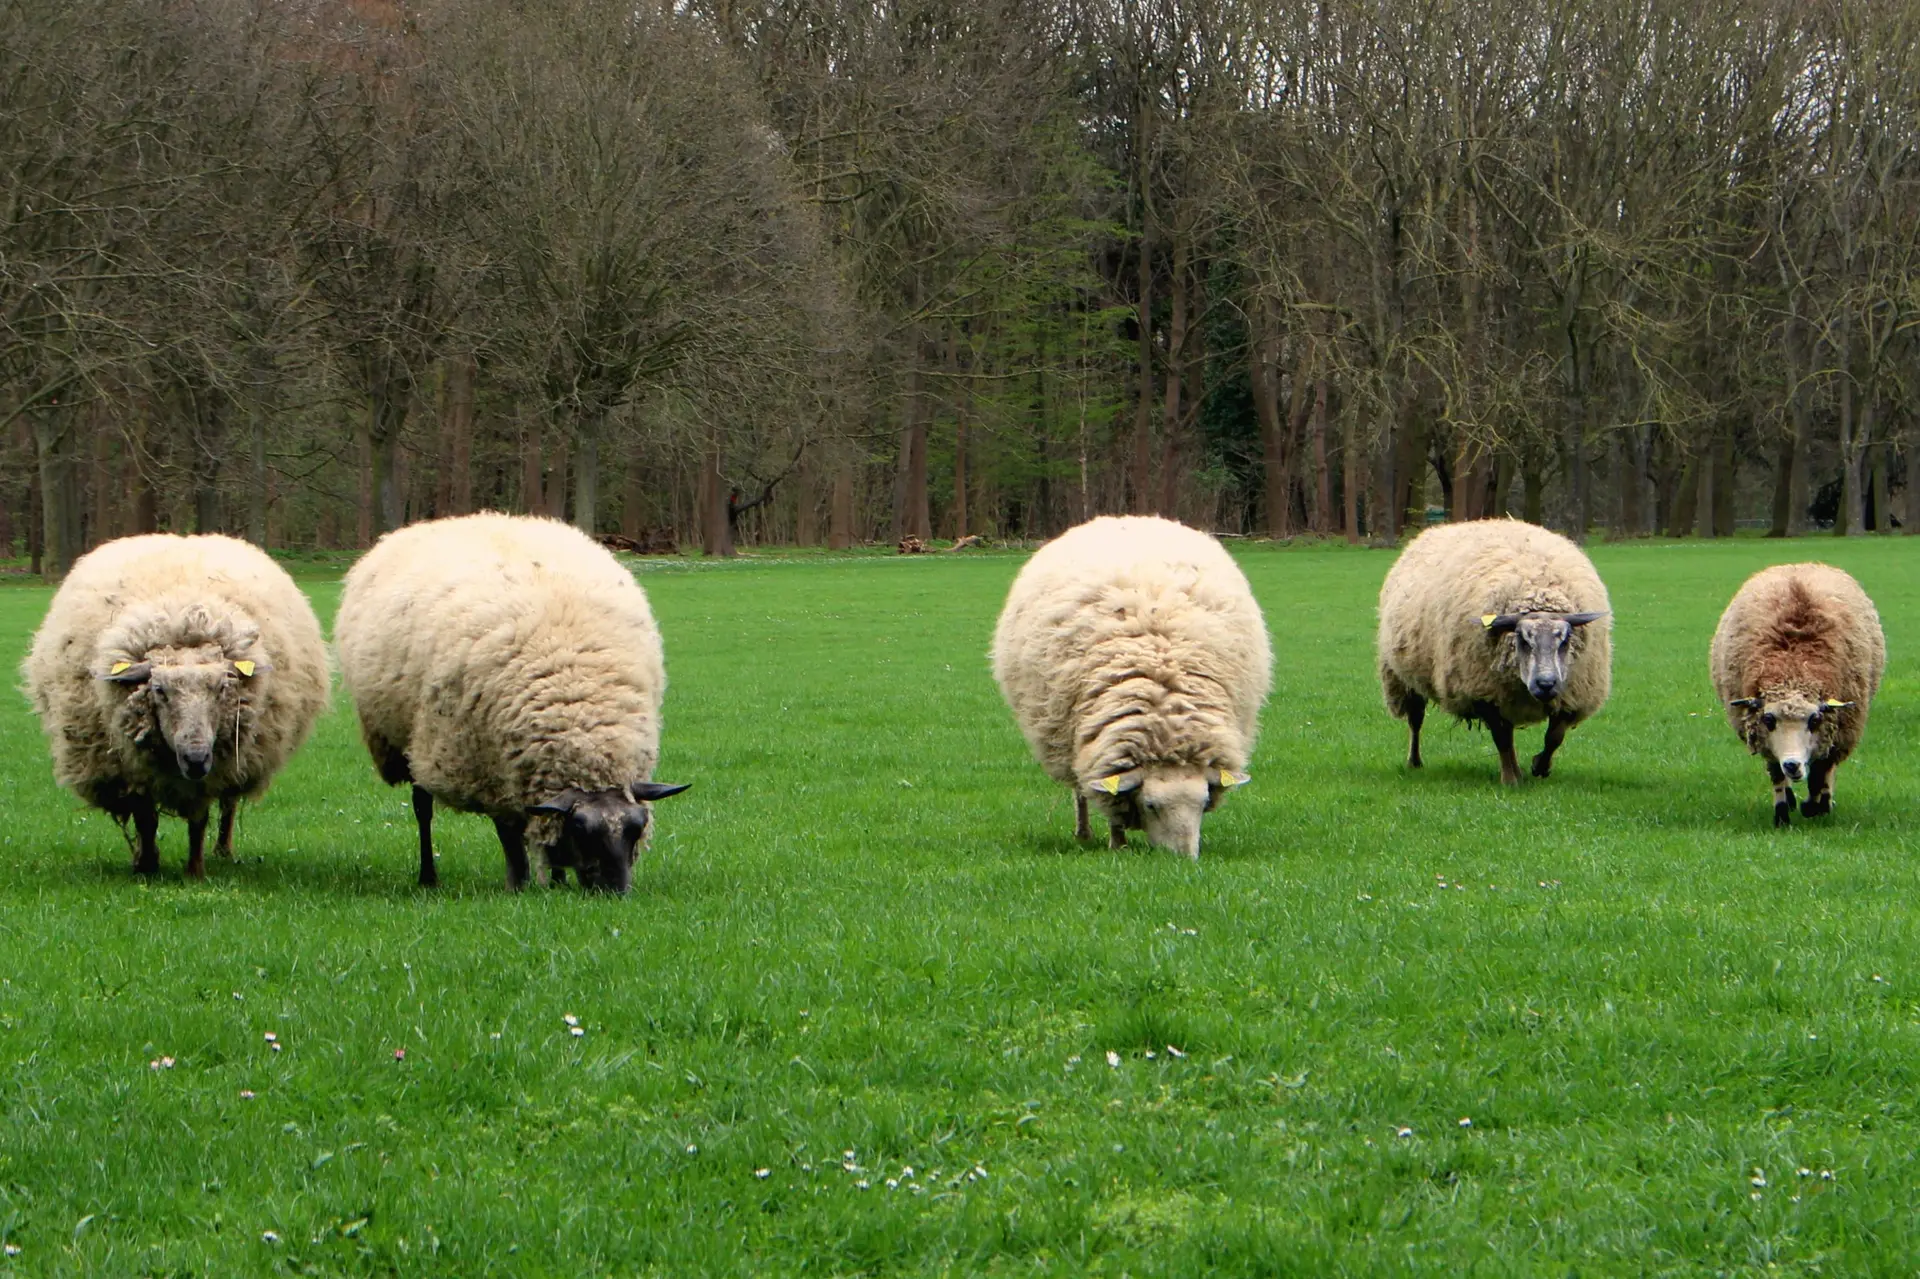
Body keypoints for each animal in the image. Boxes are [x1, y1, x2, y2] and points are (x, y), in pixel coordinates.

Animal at [21, 533, 329, 878]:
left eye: (222, 688)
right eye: (159, 690)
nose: (195, 757)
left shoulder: (212, 770)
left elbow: (199, 821)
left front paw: (195, 870)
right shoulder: (135, 769)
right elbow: (145, 819)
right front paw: (147, 865)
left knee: (229, 805)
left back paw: (223, 850)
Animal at [334, 513, 689, 893]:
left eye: (637, 827)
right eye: (581, 830)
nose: (616, 892)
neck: (577, 705)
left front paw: (557, 882)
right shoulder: (488, 770)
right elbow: (509, 836)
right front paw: (518, 885)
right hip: (409, 740)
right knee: (422, 808)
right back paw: (428, 877)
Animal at [991, 515, 1271, 859]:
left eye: (1204, 803)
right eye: (1150, 806)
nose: (1185, 860)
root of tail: (1122, 519)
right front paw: (1118, 844)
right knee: (1080, 789)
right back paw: (1084, 833)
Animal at [1376, 519, 1611, 784]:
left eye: (1565, 640)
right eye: (1523, 640)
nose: (1546, 684)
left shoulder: (1570, 696)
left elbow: (1554, 738)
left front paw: (1539, 767)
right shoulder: (1485, 693)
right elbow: (1502, 739)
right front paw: (1510, 779)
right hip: (1403, 678)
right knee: (1415, 721)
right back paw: (1414, 762)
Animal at [1709, 562, 1885, 827]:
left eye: (1814, 720)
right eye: (1769, 719)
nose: (1792, 764)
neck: (1794, 668)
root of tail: (1799, 565)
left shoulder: (1836, 730)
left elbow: (1821, 773)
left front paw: (1814, 806)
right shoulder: (1765, 737)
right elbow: (1777, 776)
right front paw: (1782, 813)